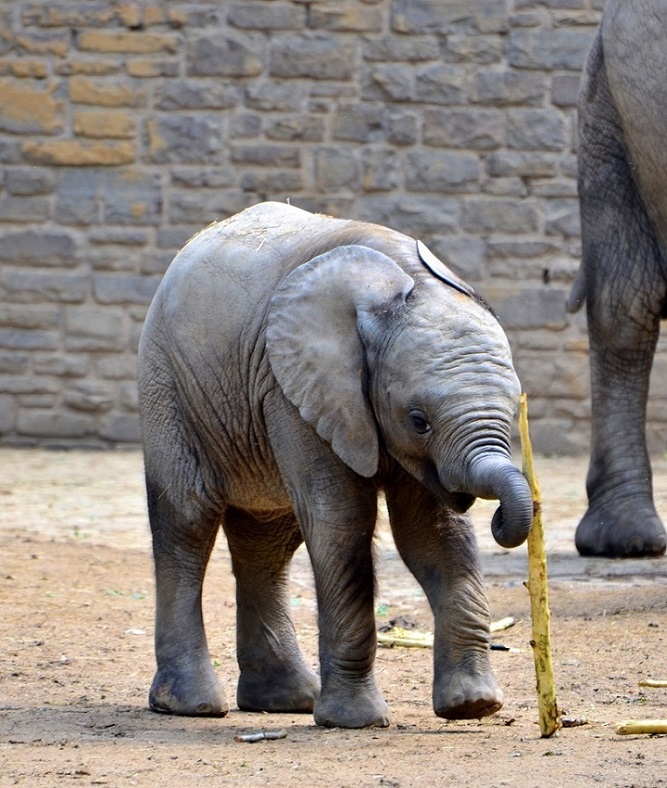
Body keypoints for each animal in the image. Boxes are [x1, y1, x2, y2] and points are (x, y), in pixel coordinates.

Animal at [137, 201, 534, 729]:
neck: (402, 285)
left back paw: (286, 702)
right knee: (188, 522)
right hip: (167, 383)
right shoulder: (292, 389)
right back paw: (193, 707)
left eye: (514, 412)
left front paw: (473, 707)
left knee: (268, 540)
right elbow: (342, 523)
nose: (497, 515)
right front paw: (357, 721)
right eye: (419, 421)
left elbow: (433, 534)